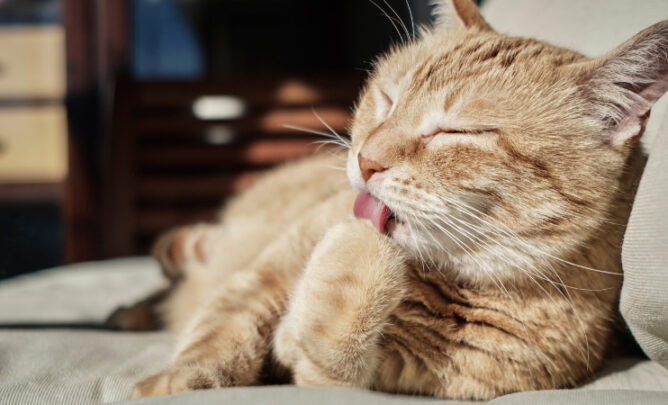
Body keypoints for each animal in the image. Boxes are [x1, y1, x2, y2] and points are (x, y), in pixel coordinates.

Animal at [108, 0, 668, 398]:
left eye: (459, 132)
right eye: (388, 99)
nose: (366, 160)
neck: (432, 275)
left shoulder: (379, 374)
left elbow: (329, 345)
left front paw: (357, 258)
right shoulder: (268, 270)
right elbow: (224, 326)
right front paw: (178, 379)